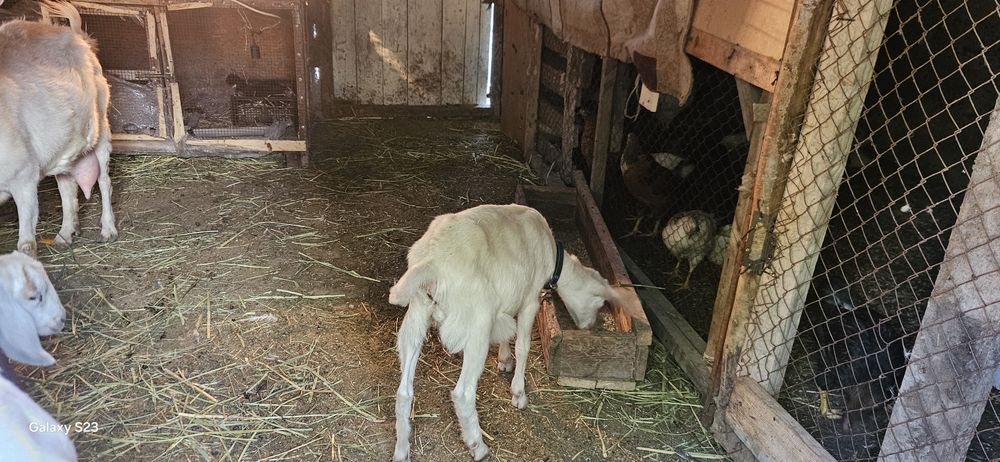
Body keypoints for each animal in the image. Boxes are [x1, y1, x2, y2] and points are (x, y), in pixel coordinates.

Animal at [0, 0, 118, 256]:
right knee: (67, 187)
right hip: (63, 143)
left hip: (101, 124)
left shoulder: (24, 177)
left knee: (104, 181)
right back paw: (66, 232)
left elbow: (26, 245)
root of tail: (72, 34)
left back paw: (108, 229)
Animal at [389, 204, 631, 461]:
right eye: (600, 303)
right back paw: (478, 445)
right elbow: (523, 345)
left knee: (404, 391)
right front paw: (518, 393)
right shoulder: (530, 300)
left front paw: (505, 361)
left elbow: (507, 333)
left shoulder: (510, 296)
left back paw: (402, 450)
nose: (589, 326)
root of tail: (432, 263)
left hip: (417, 312)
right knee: (463, 393)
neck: (553, 257)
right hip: (478, 323)